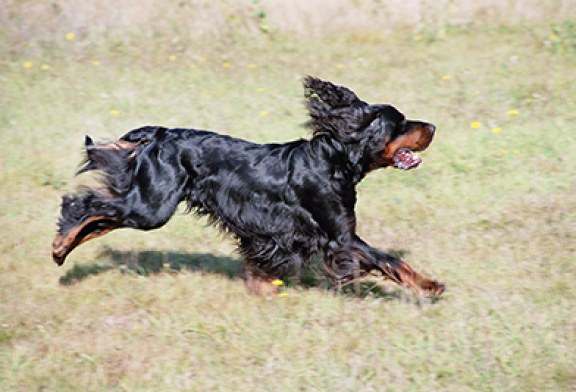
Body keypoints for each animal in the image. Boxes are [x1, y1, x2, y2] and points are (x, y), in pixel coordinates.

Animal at [50, 76, 446, 296]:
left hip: (147, 204)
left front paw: (261, 288)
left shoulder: (278, 233)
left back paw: (64, 250)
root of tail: (158, 134)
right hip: (151, 207)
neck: (334, 159)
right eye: (401, 122)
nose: (433, 127)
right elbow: (389, 259)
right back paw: (59, 246)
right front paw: (430, 285)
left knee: (100, 219)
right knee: (84, 207)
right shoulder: (341, 237)